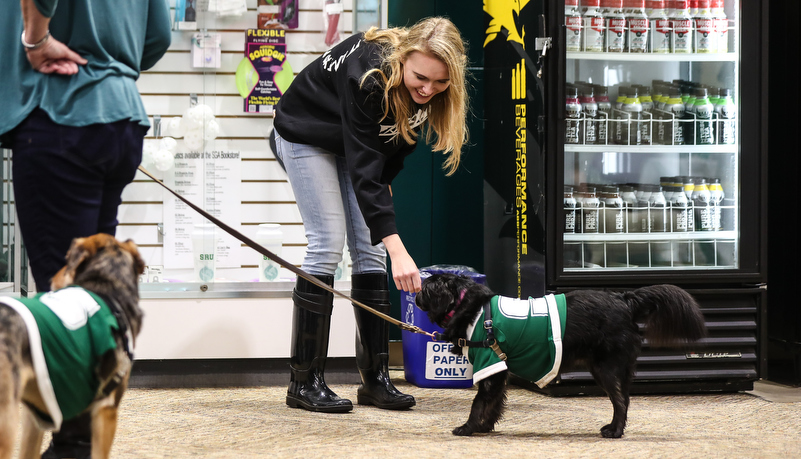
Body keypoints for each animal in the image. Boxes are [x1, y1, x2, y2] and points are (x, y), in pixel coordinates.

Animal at [416, 274, 704, 438]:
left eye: (424, 288)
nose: (415, 293)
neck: (467, 307)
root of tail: (624, 299)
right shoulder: (500, 370)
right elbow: (495, 403)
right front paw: (486, 427)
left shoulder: (490, 365)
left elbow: (478, 403)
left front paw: (468, 428)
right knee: (624, 400)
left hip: (606, 369)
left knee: (621, 402)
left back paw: (615, 431)